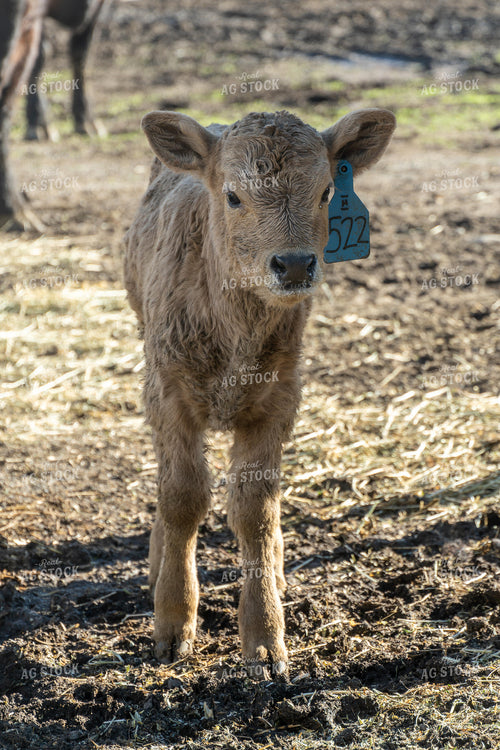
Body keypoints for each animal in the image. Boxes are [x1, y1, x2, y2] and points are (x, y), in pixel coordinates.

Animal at [124, 107, 396, 675]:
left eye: (325, 191)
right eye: (232, 195)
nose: (293, 264)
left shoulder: (277, 402)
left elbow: (255, 510)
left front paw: (266, 637)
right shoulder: (168, 394)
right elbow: (182, 497)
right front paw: (173, 623)